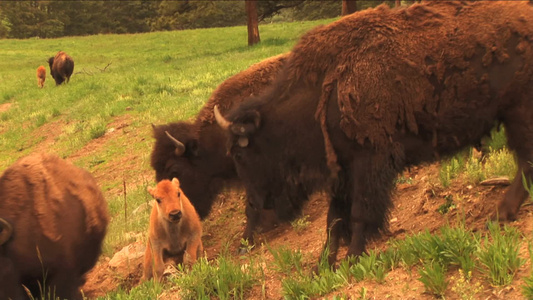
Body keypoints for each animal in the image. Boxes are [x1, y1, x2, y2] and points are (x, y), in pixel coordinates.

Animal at [214, 1, 532, 266]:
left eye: (241, 154)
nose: (256, 209)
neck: (322, 92)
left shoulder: (368, 162)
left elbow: (358, 213)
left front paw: (354, 258)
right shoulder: (341, 172)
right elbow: (333, 220)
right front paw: (323, 266)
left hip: (519, 114)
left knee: (525, 164)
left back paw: (500, 214)